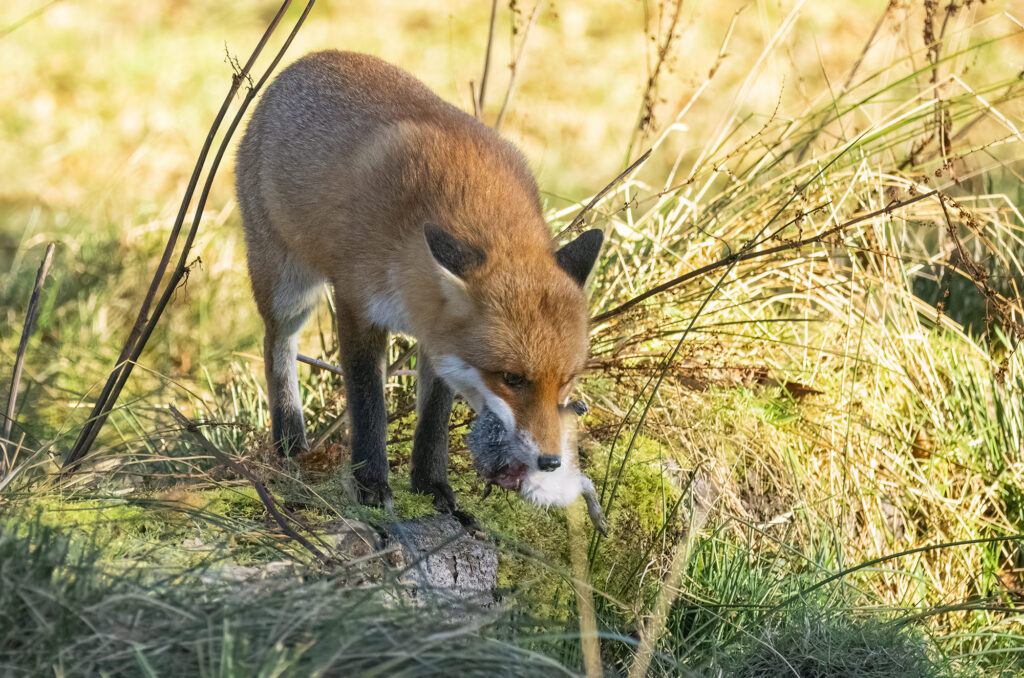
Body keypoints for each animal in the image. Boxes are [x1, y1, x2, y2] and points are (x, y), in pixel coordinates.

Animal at [235, 53, 602, 518]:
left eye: (566, 380)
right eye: (512, 378)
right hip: (288, 287)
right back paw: (289, 441)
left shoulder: (439, 335)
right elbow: (368, 406)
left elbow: (433, 419)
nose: (551, 462)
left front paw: (431, 486)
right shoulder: (357, 306)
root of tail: (307, 60)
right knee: (276, 344)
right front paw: (371, 484)